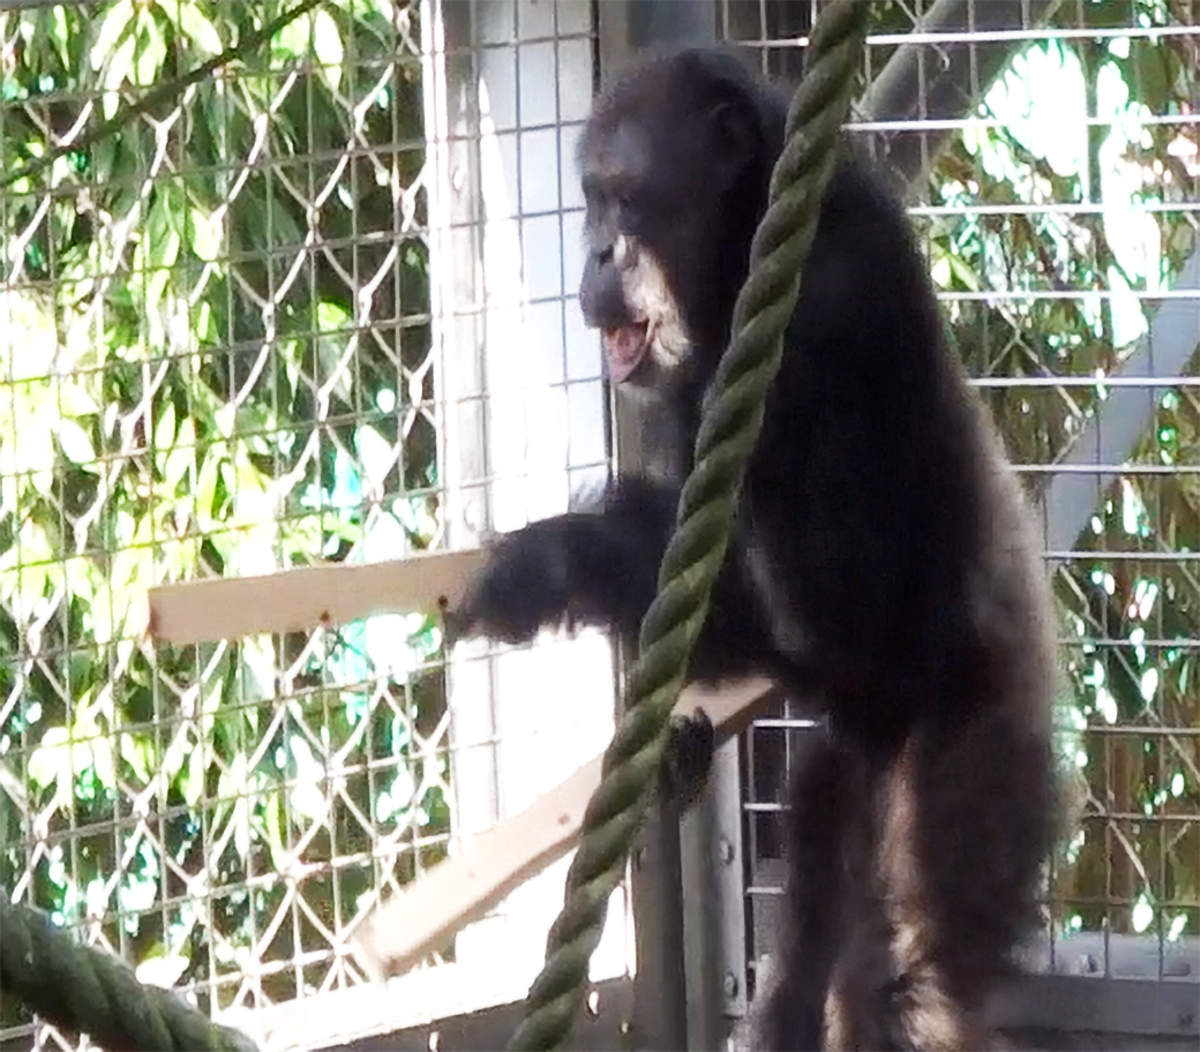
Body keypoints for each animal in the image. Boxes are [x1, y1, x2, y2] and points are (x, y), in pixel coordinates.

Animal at [447, 47, 1061, 1052]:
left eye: (626, 200)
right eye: (591, 201)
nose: (598, 250)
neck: (741, 251)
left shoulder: (832, 300)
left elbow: (844, 613)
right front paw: (547, 566)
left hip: (978, 763)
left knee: (913, 969)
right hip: (849, 774)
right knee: (816, 903)